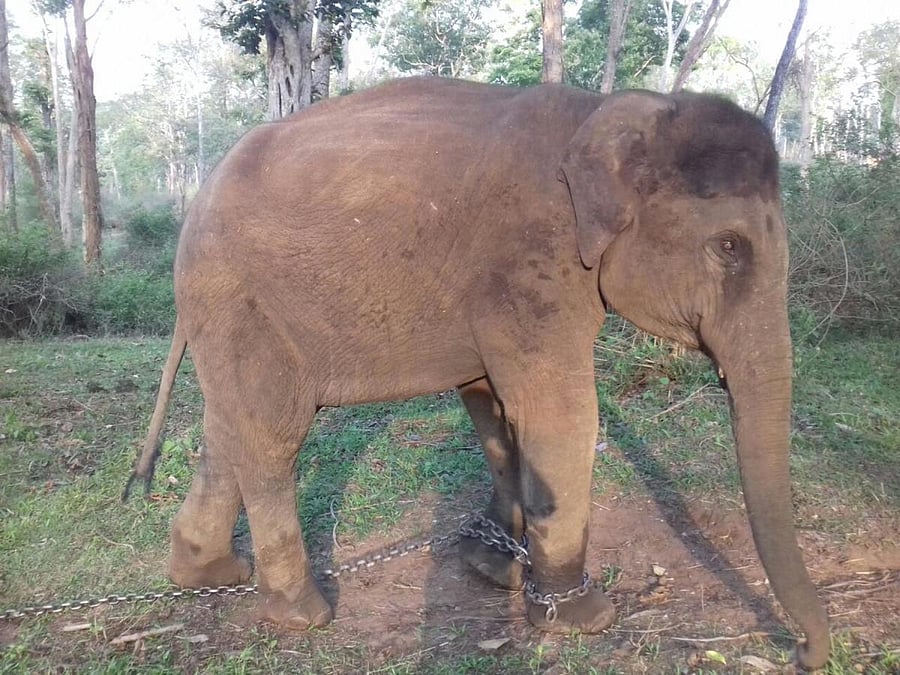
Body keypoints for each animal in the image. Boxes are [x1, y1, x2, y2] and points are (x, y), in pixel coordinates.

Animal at [126, 77, 830, 669]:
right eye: (729, 247)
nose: (804, 653)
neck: (607, 111)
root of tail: (195, 205)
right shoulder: (531, 262)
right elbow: (560, 414)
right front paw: (580, 618)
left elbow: (493, 407)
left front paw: (496, 570)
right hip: (241, 298)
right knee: (274, 435)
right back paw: (303, 614)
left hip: (227, 312)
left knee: (231, 427)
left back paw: (209, 575)